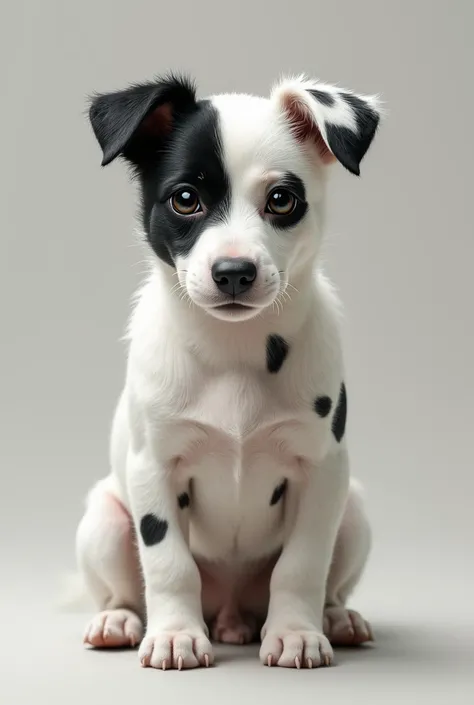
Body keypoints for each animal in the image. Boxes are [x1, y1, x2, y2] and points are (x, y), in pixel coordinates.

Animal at [78, 73, 382, 672]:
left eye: (281, 200)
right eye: (185, 199)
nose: (234, 272)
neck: (234, 350)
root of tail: (231, 612)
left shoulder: (323, 472)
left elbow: (303, 564)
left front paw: (295, 633)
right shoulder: (154, 469)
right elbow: (169, 564)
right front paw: (175, 634)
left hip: (354, 509)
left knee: (328, 582)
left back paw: (334, 618)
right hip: (102, 520)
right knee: (126, 587)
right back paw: (120, 620)